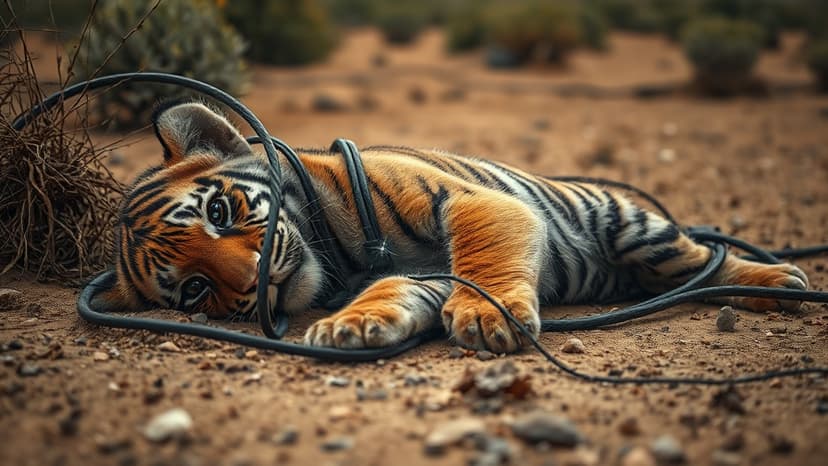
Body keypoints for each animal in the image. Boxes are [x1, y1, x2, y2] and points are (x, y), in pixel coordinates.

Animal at [91, 102, 810, 353]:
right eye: (192, 291)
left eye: (218, 213)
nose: (255, 280)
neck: (338, 256)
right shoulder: (419, 272)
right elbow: (399, 289)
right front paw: (355, 325)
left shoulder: (472, 202)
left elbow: (485, 258)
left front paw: (488, 318)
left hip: (633, 226)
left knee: (706, 259)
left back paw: (778, 281)